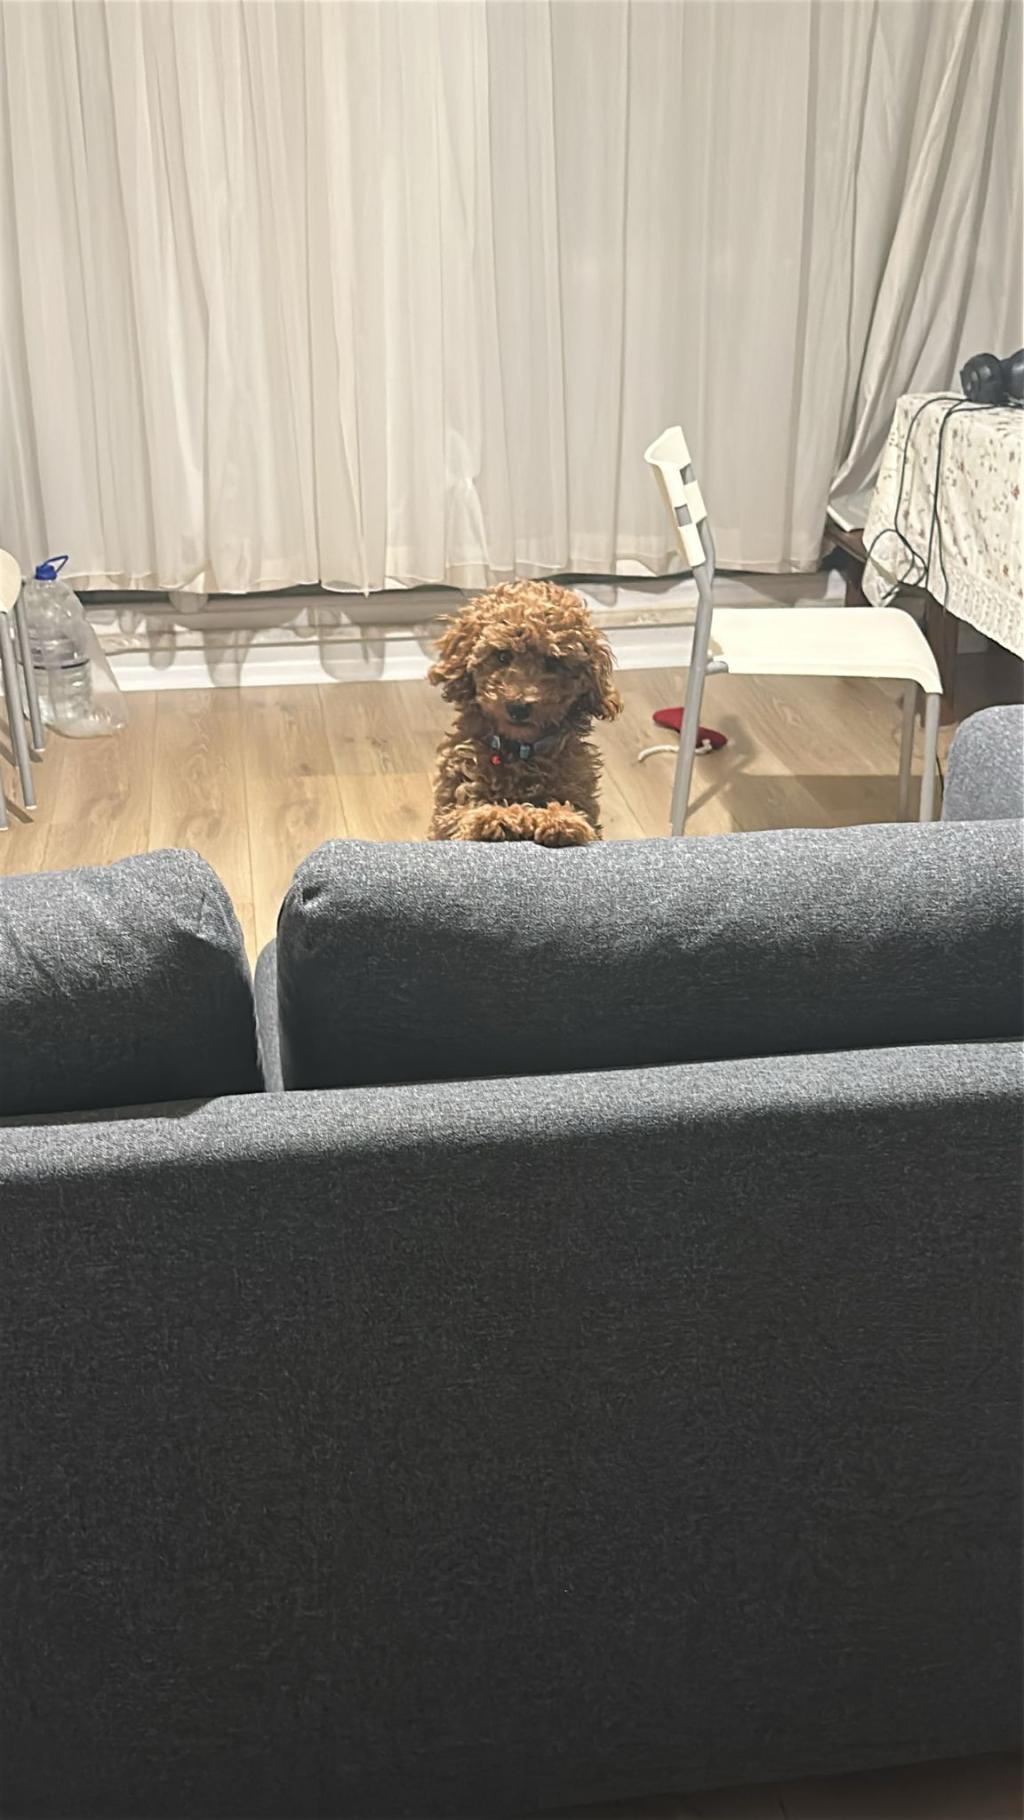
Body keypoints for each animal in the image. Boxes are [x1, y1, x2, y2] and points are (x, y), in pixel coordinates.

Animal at [428, 581, 622, 843]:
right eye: (502, 656)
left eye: (553, 662)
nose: (518, 707)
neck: (519, 752)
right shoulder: (451, 807)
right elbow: (464, 815)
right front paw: (494, 817)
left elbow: (579, 818)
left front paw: (561, 820)